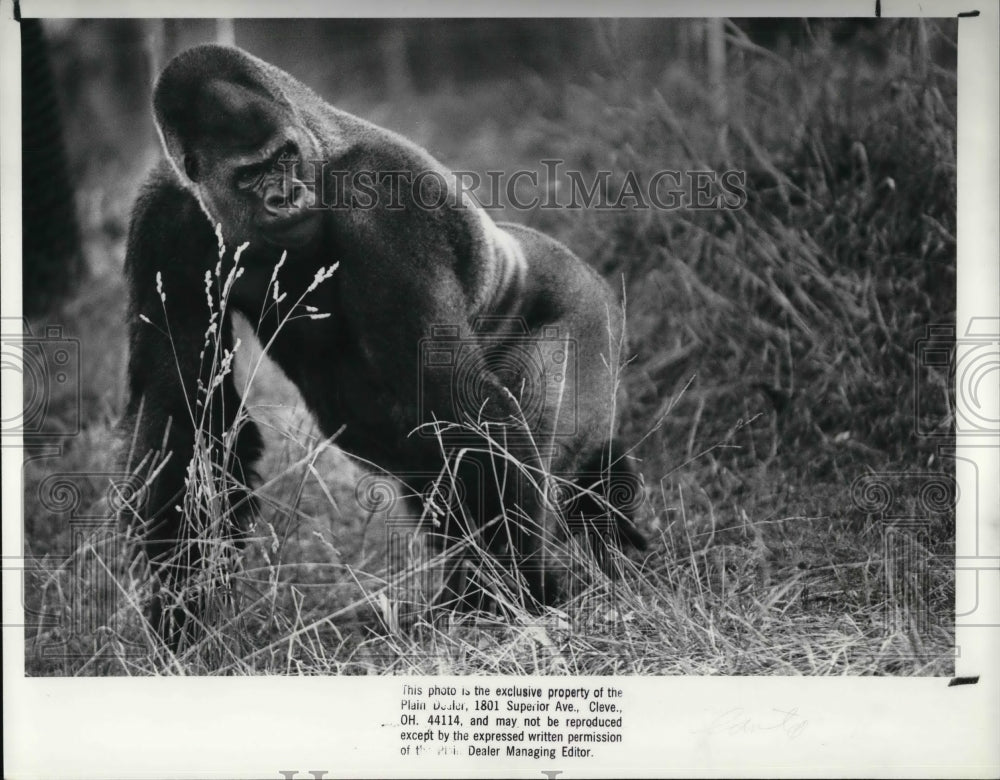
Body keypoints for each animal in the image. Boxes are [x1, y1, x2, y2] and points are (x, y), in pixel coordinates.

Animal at [121, 45, 644, 648]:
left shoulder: (382, 200)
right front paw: (179, 605)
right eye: (251, 173)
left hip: (586, 312)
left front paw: (520, 592)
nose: (286, 195)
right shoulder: (164, 219)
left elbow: (457, 400)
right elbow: (183, 412)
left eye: (285, 157)